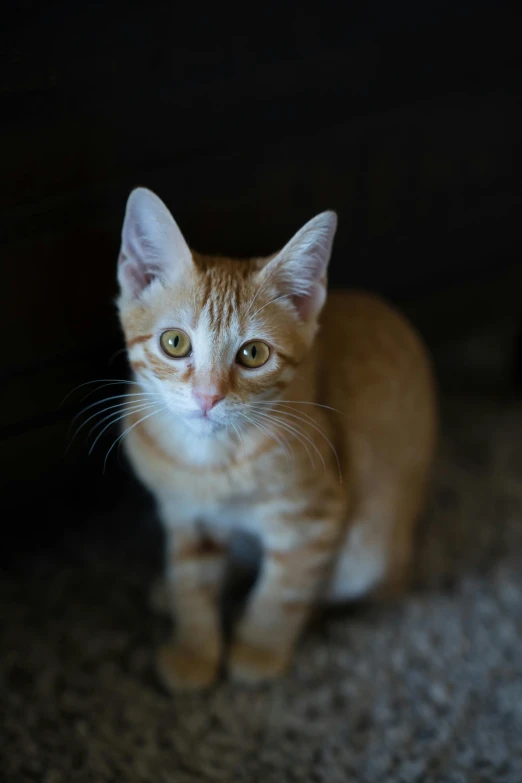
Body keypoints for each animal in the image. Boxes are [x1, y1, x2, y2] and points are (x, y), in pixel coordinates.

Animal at [116, 188, 436, 692]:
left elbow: (282, 591)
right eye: (174, 342)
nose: (208, 396)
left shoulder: (315, 515)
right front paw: (194, 649)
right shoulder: (185, 512)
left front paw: (257, 651)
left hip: (374, 544)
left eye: (253, 353)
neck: (209, 463)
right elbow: (192, 579)